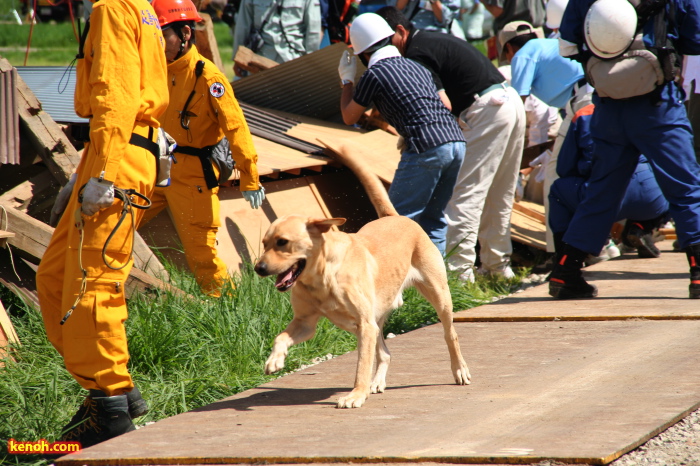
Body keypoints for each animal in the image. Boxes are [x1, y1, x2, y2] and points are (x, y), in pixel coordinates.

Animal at [254, 150, 474, 408]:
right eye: (264, 243)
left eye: (283, 242)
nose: (258, 268)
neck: (323, 277)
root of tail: (396, 216)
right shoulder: (305, 323)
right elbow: (280, 337)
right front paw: (275, 360)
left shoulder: (364, 325)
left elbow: (362, 366)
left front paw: (356, 394)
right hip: (373, 320)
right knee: (385, 353)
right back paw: (377, 381)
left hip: (438, 297)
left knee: (450, 335)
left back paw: (459, 370)